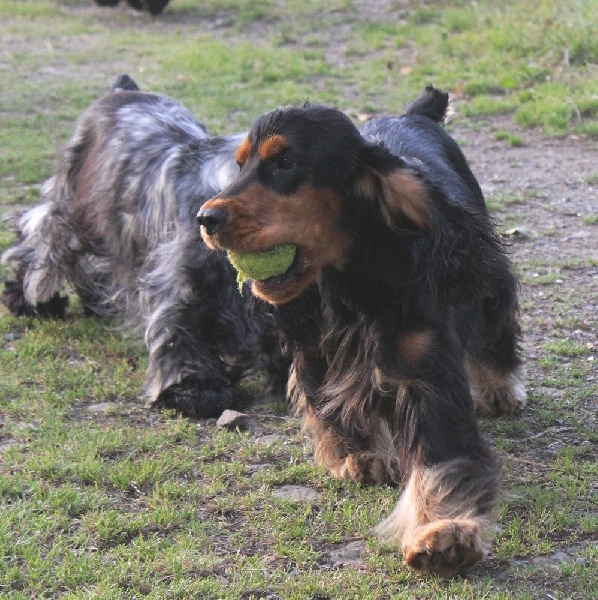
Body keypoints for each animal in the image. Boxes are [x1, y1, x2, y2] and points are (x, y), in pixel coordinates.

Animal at [200, 85, 524, 576]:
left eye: (286, 162)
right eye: (241, 165)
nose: (205, 219)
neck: (348, 283)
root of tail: (413, 114)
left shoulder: (426, 369)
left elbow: (441, 453)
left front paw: (445, 532)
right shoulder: (316, 349)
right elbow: (330, 404)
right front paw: (361, 455)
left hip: (482, 277)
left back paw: (500, 388)